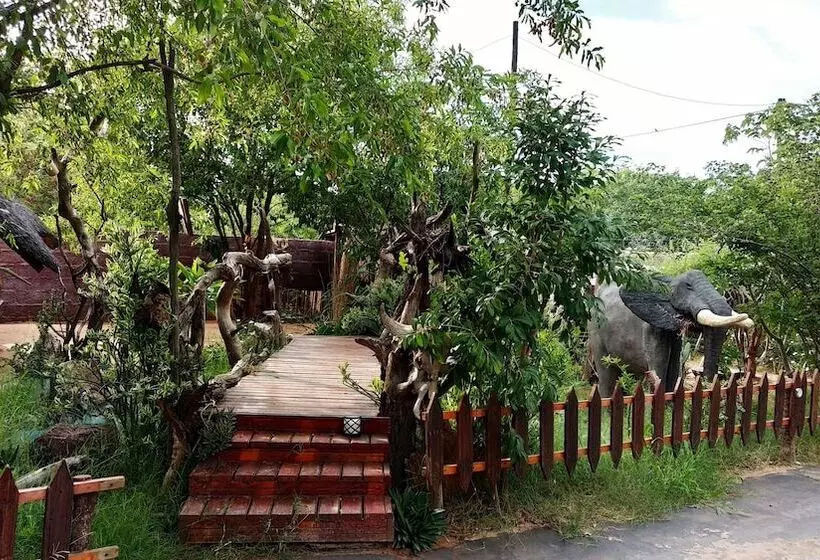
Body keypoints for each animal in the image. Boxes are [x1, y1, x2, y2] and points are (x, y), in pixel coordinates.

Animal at [588, 270, 754, 398]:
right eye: (688, 286)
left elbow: (673, 368)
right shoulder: (652, 329)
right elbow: (659, 367)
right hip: (595, 329)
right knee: (606, 373)